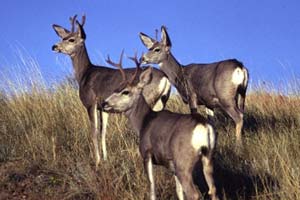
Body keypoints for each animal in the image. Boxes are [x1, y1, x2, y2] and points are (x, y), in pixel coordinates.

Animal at [50, 16, 170, 169]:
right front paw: (105, 159)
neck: (85, 74)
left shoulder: (91, 103)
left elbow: (94, 132)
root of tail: (165, 78)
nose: (54, 47)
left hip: (149, 99)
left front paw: (97, 161)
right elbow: (103, 132)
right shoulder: (103, 108)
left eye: (71, 39)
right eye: (63, 37)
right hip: (161, 101)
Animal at [102, 54, 218, 200]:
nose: (104, 103)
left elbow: (152, 189)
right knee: (213, 189)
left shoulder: (147, 153)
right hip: (208, 157)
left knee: (194, 194)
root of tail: (204, 126)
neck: (144, 121)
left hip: (183, 162)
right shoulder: (172, 164)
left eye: (125, 92)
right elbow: (178, 191)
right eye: (115, 89)